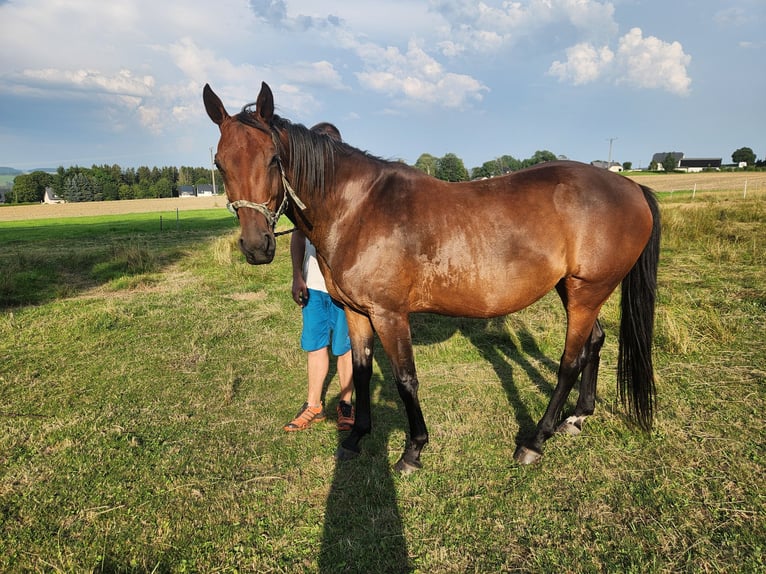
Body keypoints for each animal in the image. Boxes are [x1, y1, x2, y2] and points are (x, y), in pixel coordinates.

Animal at [203, 82, 661, 470]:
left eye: (273, 159)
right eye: (220, 164)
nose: (256, 246)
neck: (358, 208)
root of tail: (632, 187)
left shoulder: (389, 314)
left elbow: (406, 379)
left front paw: (413, 450)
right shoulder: (356, 312)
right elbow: (362, 371)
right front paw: (356, 438)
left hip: (587, 291)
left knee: (570, 361)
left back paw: (534, 441)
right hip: (575, 289)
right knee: (595, 343)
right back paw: (577, 417)